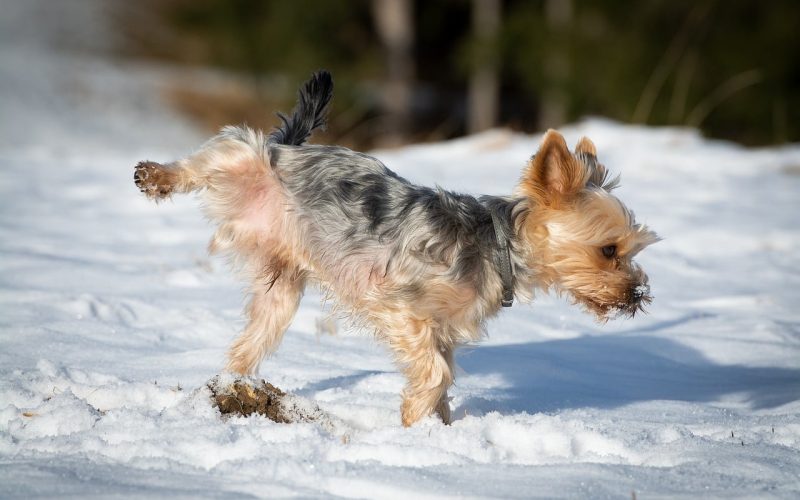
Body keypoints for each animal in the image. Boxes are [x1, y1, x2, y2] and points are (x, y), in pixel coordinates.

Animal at [134, 71, 660, 426]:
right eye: (609, 250)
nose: (637, 295)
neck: (499, 247)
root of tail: (291, 147)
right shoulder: (401, 307)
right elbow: (435, 373)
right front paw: (413, 419)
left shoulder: (443, 330)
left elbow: (442, 375)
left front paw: (437, 433)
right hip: (247, 157)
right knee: (219, 151)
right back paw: (156, 176)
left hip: (281, 289)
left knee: (251, 340)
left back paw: (232, 386)